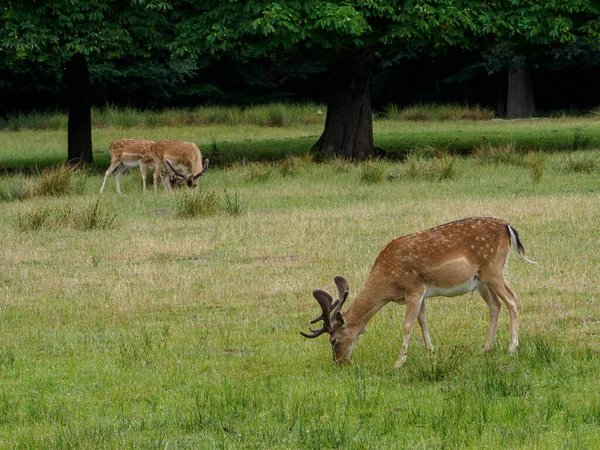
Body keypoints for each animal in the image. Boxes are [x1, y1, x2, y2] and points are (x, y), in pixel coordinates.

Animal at [302, 218, 536, 370]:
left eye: (333, 340)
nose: (339, 362)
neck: (388, 283)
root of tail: (507, 227)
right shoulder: (422, 293)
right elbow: (422, 321)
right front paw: (431, 355)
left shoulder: (413, 290)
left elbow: (407, 325)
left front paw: (399, 362)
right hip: (480, 281)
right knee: (495, 305)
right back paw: (485, 348)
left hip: (492, 268)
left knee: (512, 300)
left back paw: (512, 348)